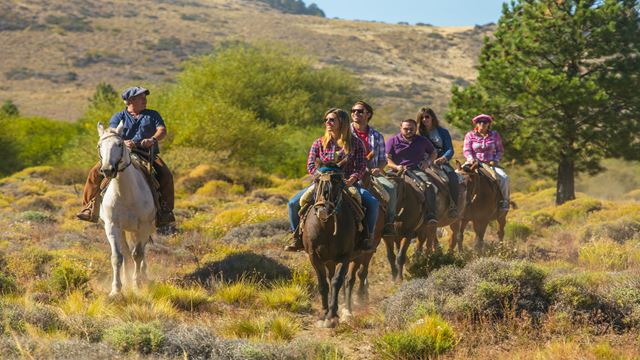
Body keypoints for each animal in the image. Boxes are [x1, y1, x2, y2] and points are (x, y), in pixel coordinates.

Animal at [98, 121, 157, 296]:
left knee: (142, 251)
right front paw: (116, 289)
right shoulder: (112, 226)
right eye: (99, 146)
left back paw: (143, 276)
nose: (107, 170)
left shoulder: (143, 226)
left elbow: (138, 254)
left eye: (119, 144)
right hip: (124, 229)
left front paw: (137, 285)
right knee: (125, 251)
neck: (125, 193)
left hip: (145, 228)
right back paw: (126, 278)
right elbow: (117, 257)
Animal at [302, 165, 358, 328]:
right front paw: (323, 313)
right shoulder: (314, 256)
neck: (325, 227)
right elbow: (322, 283)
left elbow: (336, 282)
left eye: (337, 181)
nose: (322, 209)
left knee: (346, 279)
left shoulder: (345, 256)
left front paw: (332, 316)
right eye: (316, 180)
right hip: (328, 260)